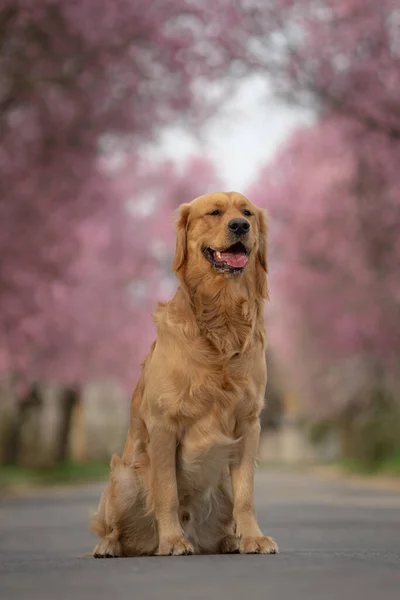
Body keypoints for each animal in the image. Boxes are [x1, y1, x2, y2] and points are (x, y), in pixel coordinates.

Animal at [90, 192, 278, 556]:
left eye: (247, 213)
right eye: (214, 212)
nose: (240, 226)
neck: (222, 319)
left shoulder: (249, 424)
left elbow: (246, 496)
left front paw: (253, 537)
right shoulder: (164, 424)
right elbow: (167, 492)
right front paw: (173, 540)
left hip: (221, 482)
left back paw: (230, 541)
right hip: (124, 476)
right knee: (112, 528)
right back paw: (111, 545)